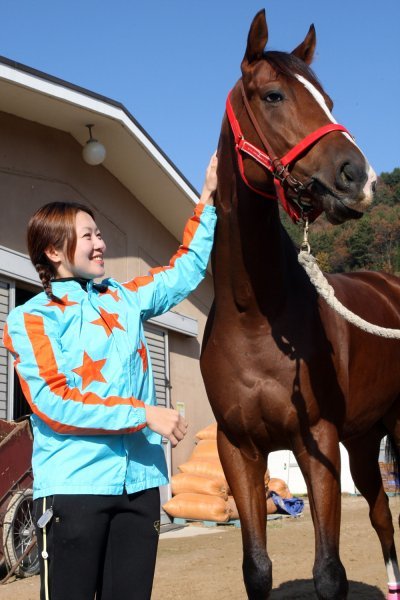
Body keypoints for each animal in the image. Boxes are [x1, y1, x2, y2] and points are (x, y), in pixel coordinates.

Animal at [202, 9, 400, 600]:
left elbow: (329, 572)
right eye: (272, 95)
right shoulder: (239, 450)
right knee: (382, 516)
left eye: (328, 99)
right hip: (365, 439)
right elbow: (257, 568)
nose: (360, 179)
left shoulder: (318, 442)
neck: (253, 316)